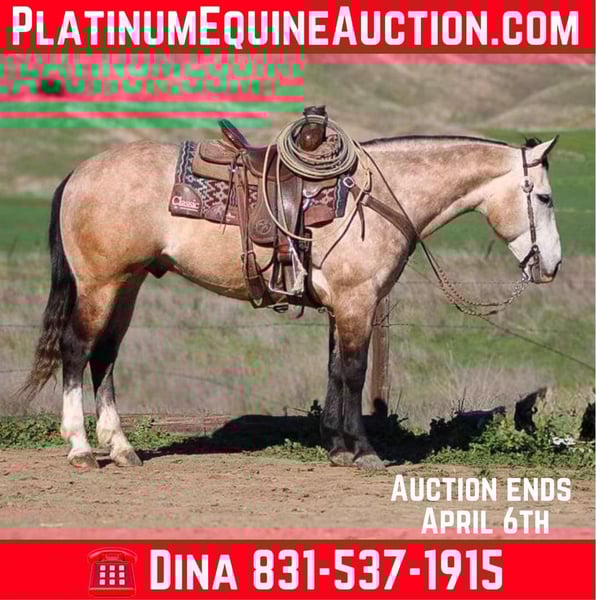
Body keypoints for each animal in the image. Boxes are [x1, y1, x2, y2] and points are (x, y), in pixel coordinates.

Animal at [21, 132, 562, 470]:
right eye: (545, 198)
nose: (551, 265)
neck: (379, 198)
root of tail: (78, 173)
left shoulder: (343, 308)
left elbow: (336, 373)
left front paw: (337, 447)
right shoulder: (357, 304)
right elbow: (354, 373)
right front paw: (362, 452)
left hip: (127, 285)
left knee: (105, 357)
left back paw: (121, 448)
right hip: (100, 285)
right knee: (76, 352)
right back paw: (81, 449)